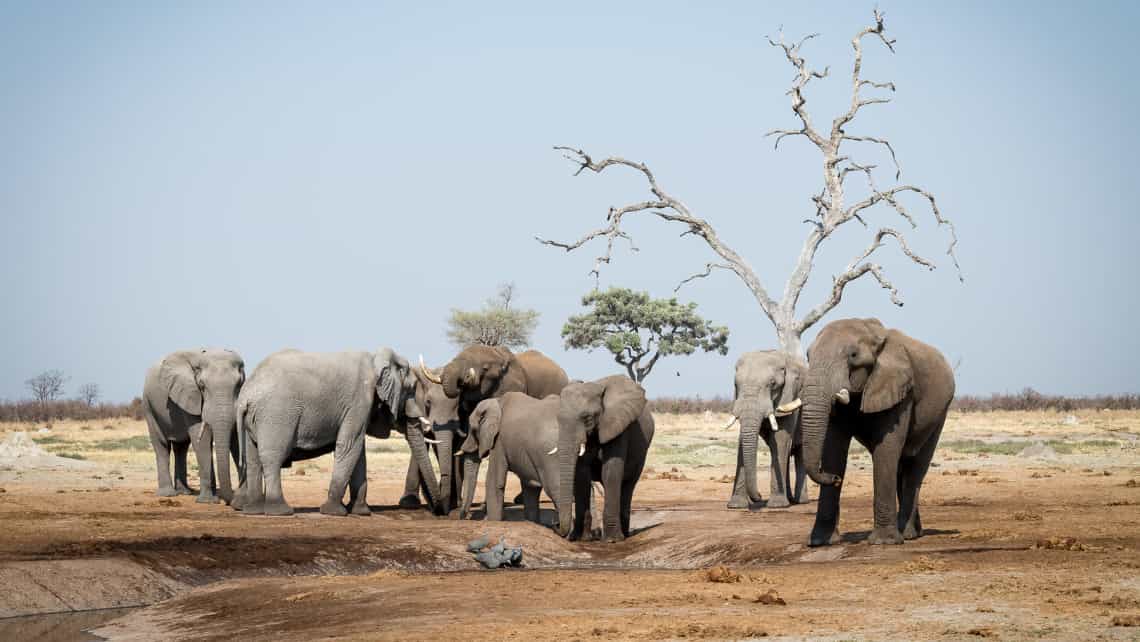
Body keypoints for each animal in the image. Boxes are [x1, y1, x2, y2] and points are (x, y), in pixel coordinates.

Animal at [230, 346, 435, 517]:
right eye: (411, 390)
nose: (437, 510)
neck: (376, 359)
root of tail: (246, 395)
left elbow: (358, 453)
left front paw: (361, 512)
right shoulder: (359, 401)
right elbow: (349, 446)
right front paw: (335, 512)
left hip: (255, 418)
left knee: (253, 457)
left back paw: (253, 511)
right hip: (276, 414)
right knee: (272, 457)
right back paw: (281, 511)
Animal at [453, 392, 560, 522]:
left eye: (473, 430)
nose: (463, 516)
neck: (497, 401)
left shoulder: (499, 441)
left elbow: (493, 481)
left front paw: (492, 521)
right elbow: (528, 485)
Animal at [554, 376, 656, 542]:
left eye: (587, 418)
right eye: (558, 419)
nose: (556, 525)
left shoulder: (618, 427)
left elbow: (611, 470)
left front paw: (612, 540)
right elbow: (582, 473)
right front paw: (582, 539)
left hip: (642, 455)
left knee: (627, 485)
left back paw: (624, 535)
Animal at [725, 351, 807, 513]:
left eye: (772, 384)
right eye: (736, 385)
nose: (759, 496)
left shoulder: (790, 394)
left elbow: (780, 439)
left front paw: (777, 506)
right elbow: (742, 441)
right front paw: (736, 506)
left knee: (800, 453)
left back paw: (800, 501)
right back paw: (789, 499)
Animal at [798, 317, 957, 547]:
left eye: (853, 356)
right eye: (809, 356)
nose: (835, 479)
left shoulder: (899, 388)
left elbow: (887, 448)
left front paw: (884, 542)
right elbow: (834, 450)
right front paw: (820, 542)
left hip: (940, 413)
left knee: (916, 467)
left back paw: (907, 534)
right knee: (901, 466)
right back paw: (913, 532)